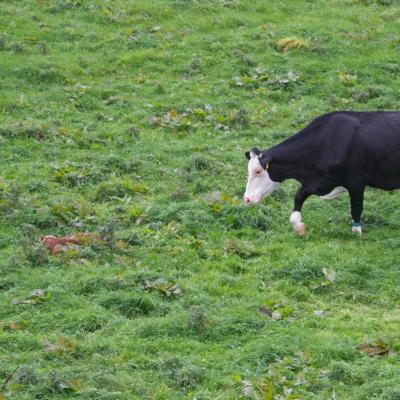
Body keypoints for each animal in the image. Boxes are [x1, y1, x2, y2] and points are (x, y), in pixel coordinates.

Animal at [242, 110, 400, 234]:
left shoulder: (356, 181)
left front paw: (357, 233)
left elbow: (356, 208)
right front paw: (299, 226)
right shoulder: (319, 181)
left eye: (257, 171)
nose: (247, 199)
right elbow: (299, 196)